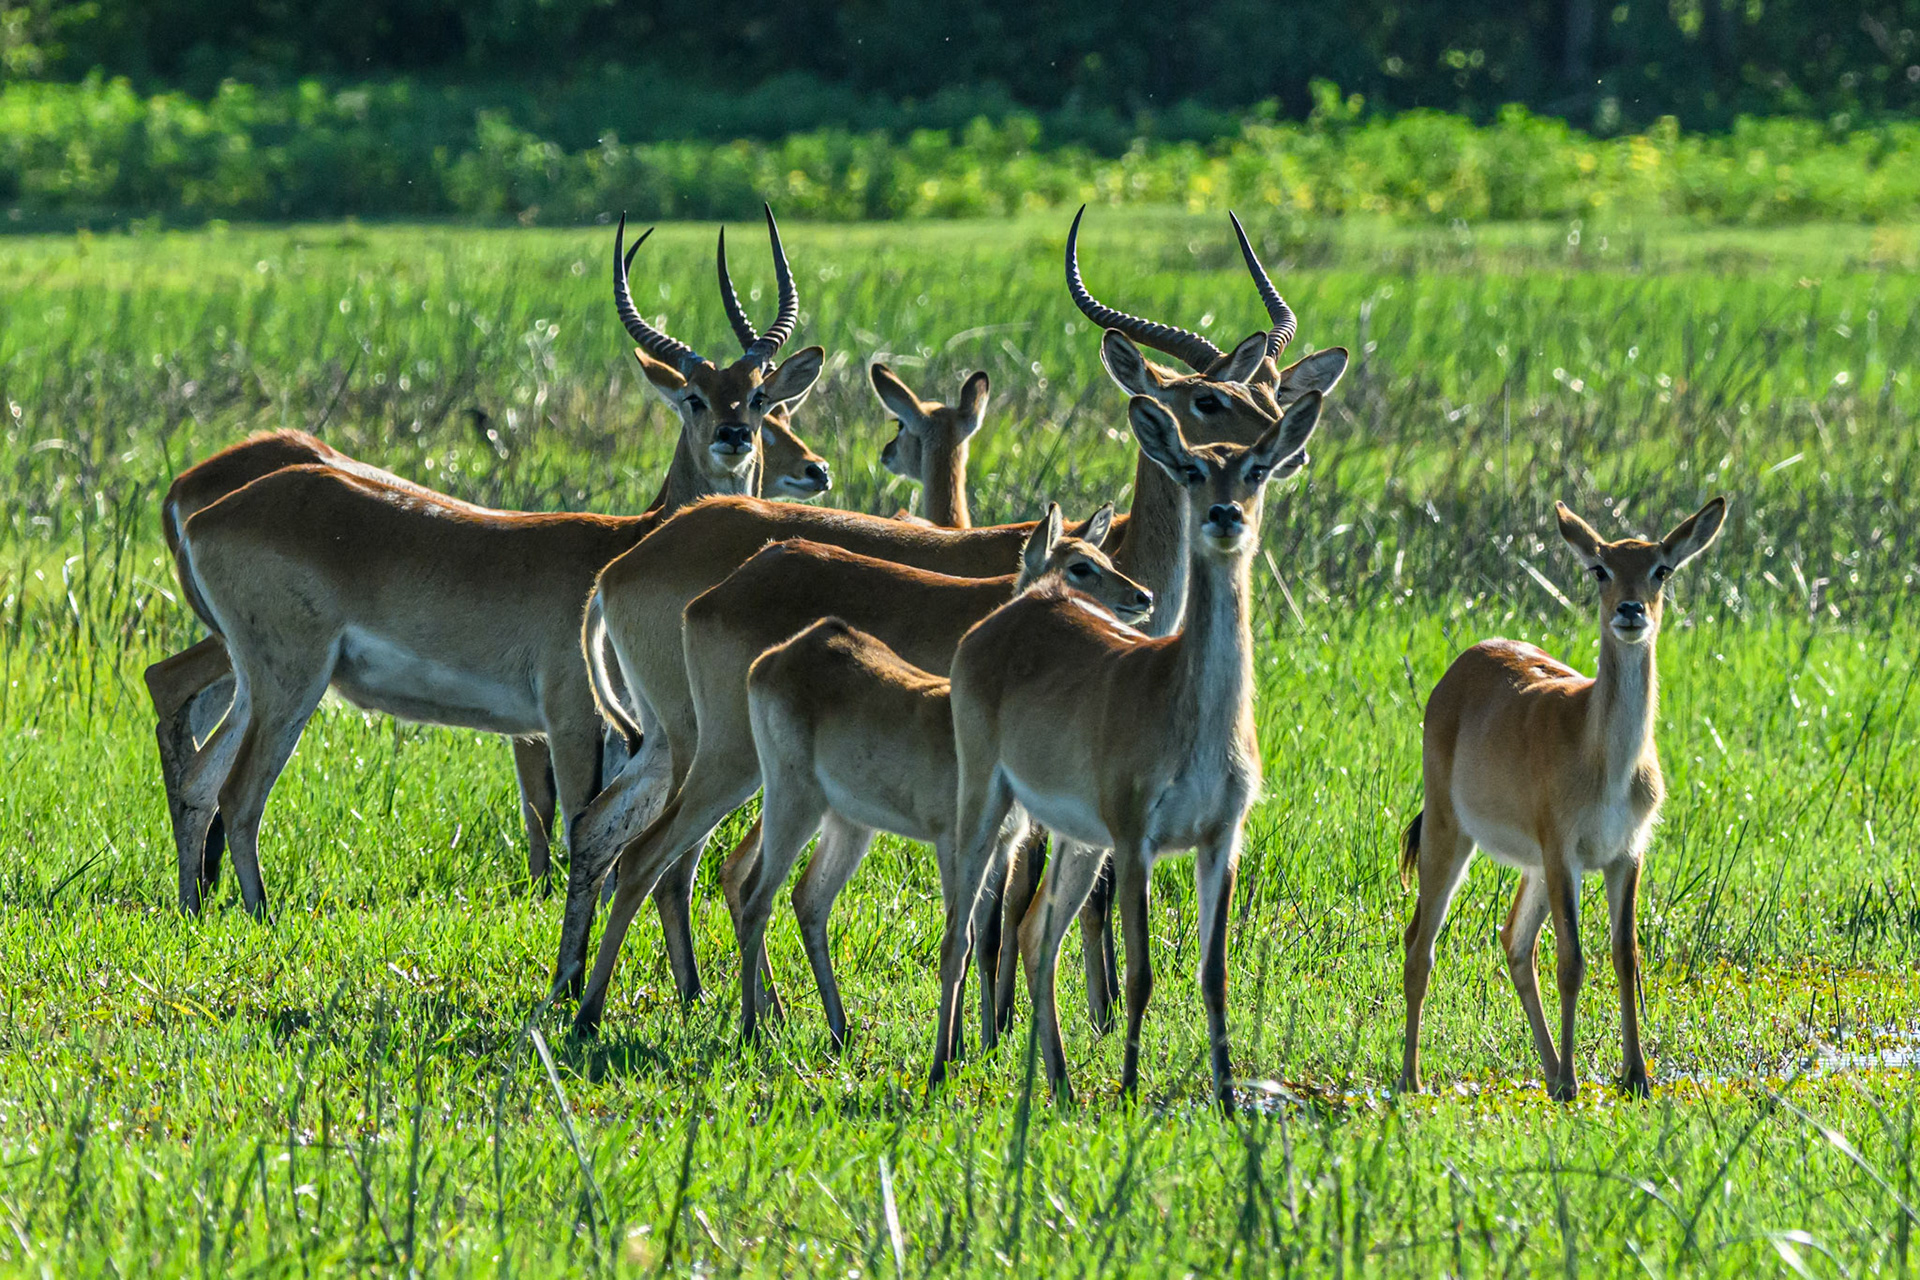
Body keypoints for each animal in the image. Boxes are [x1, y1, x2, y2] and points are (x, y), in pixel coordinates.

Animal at [160, 210, 823, 915]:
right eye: (695, 395)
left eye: (759, 397)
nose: (735, 437)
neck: (626, 545)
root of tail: (201, 509)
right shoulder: (570, 718)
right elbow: (578, 823)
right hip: (291, 678)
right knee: (238, 791)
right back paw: (259, 915)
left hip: (255, 679)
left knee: (201, 779)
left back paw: (194, 907)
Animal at [567, 502, 1151, 1037]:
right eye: (1079, 567)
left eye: (1104, 558)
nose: (1141, 599)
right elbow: (988, 924)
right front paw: (986, 1036)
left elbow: (993, 927)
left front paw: (991, 1035)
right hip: (730, 762)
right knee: (654, 859)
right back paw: (602, 1011)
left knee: (635, 841)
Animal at [947, 387, 1325, 1108]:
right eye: (1192, 469)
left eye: (1256, 468)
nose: (1225, 515)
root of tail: (1018, 607)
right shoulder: (1134, 837)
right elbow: (1143, 972)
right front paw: (1126, 1090)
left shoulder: (1221, 838)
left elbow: (1213, 974)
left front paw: (1227, 1099)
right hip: (994, 804)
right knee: (971, 919)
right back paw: (956, 1060)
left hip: (1076, 838)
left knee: (1036, 932)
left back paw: (1059, 1083)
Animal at [1397, 498, 1728, 1101]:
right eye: (1600, 568)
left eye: (1661, 569)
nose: (1630, 610)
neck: (1605, 764)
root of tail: (1456, 670)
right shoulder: (1564, 850)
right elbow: (1572, 960)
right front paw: (1578, 1079)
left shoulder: (1626, 853)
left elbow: (1626, 956)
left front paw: (1636, 1077)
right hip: (1449, 829)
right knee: (1420, 942)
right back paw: (1413, 1078)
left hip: (1530, 864)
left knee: (1513, 940)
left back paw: (1549, 1072)